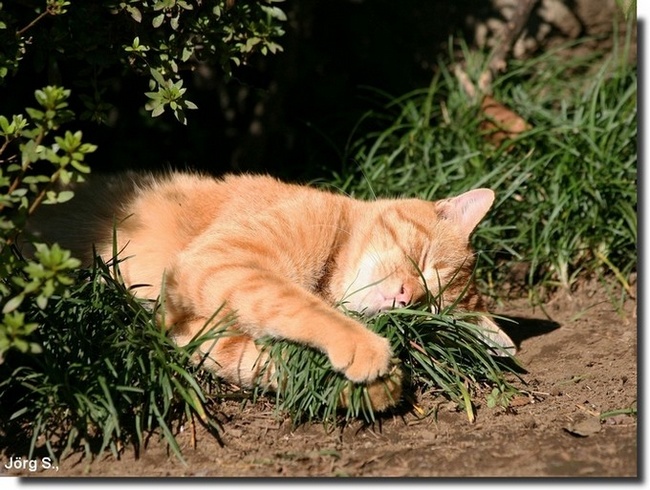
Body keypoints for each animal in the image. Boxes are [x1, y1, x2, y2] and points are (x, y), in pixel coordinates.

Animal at [24, 171, 512, 410]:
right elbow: (294, 303)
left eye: (430, 310)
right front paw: (365, 348)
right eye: (423, 261)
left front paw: (373, 388)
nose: (408, 297)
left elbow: (272, 359)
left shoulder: (189, 333)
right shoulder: (223, 261)